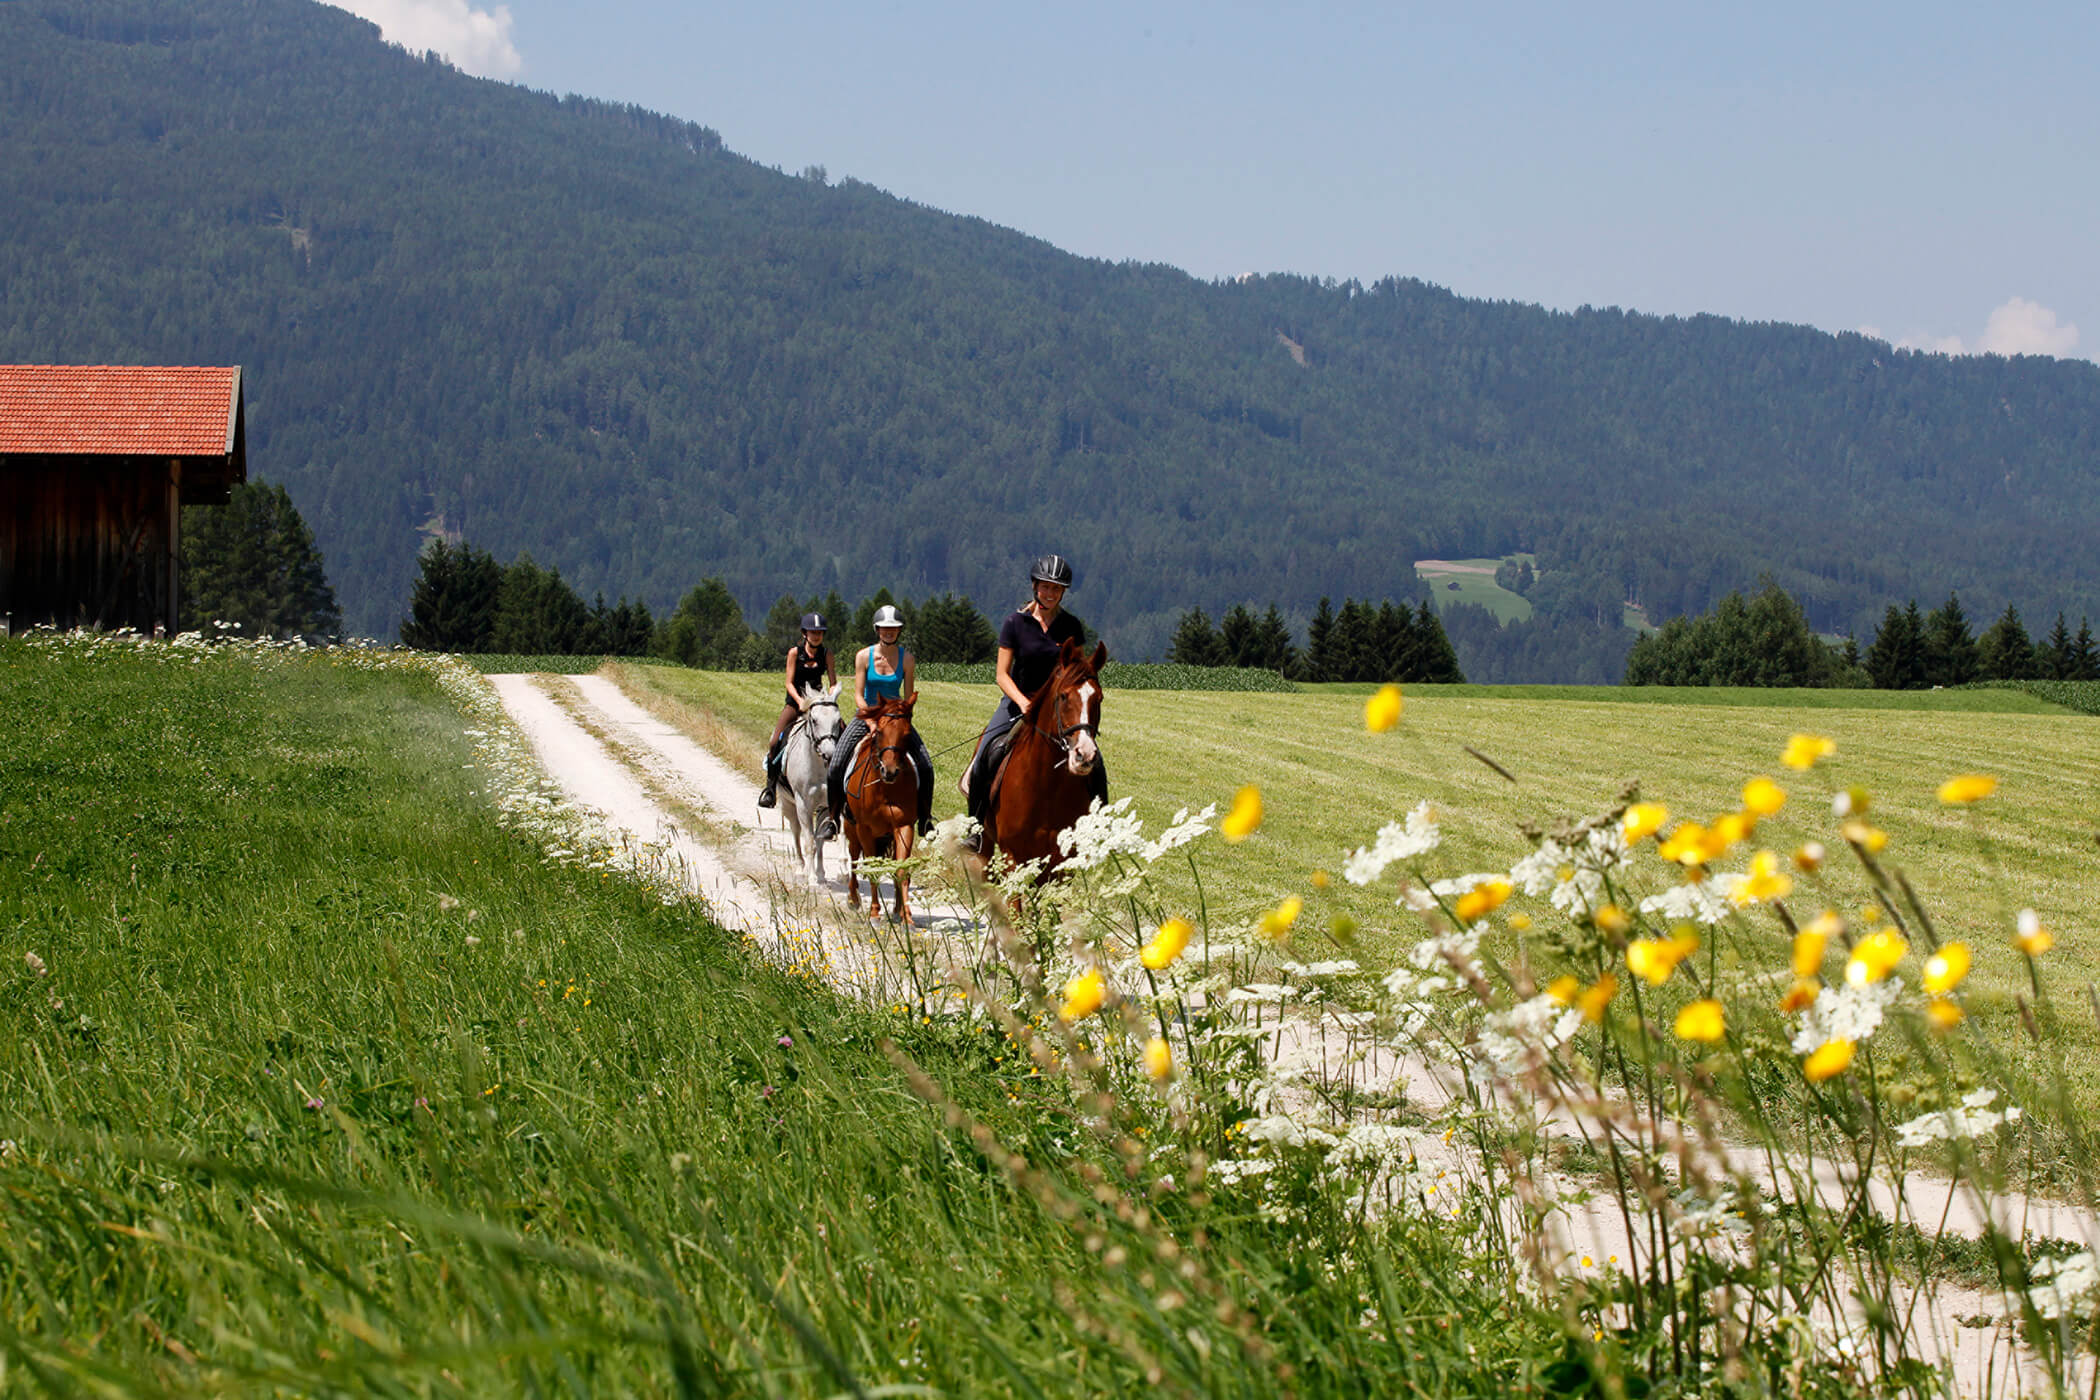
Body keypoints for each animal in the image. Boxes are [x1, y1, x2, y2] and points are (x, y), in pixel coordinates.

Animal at [772, 684, 843, 885]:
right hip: (789, 805)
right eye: (814, 720)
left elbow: (822, 840)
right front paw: (811, 879)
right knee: (796, 833)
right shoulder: (803, 805)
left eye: (838, 720)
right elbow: (809, 841)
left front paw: (823, 874)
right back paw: (800, 870)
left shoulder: (829, 804)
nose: (829, 753)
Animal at [841, 696, 920, 921]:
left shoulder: (904, 827)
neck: (885, 789)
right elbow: (872, 868)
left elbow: (901, 870)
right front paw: (875, 914)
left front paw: (906, 917)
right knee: (853, 857)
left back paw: (898, 910)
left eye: (907, 734)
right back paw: (853, 899)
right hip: (851, 828)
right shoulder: (864, 829)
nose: (890, 771)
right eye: (880, 732)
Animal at [981, 638, 1108, 876]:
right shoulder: (1012, 855)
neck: (1046, 787)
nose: (1084, 754)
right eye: (1064, 696)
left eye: (1099, 698)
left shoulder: (1062, 861)